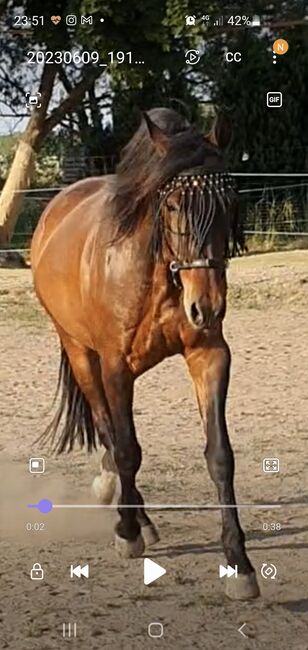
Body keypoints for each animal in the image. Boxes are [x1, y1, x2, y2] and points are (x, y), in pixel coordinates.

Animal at [31, 106, 258, 596]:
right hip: (81, 353)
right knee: (108, 429)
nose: (207, 307)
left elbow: (220, 455)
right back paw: (132, 513)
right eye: (172, 205)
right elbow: (127, 450)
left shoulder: (210, 355)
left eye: (229, 202)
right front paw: (128, 532)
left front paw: (239, 563)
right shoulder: (115, 366)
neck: (159, 273)